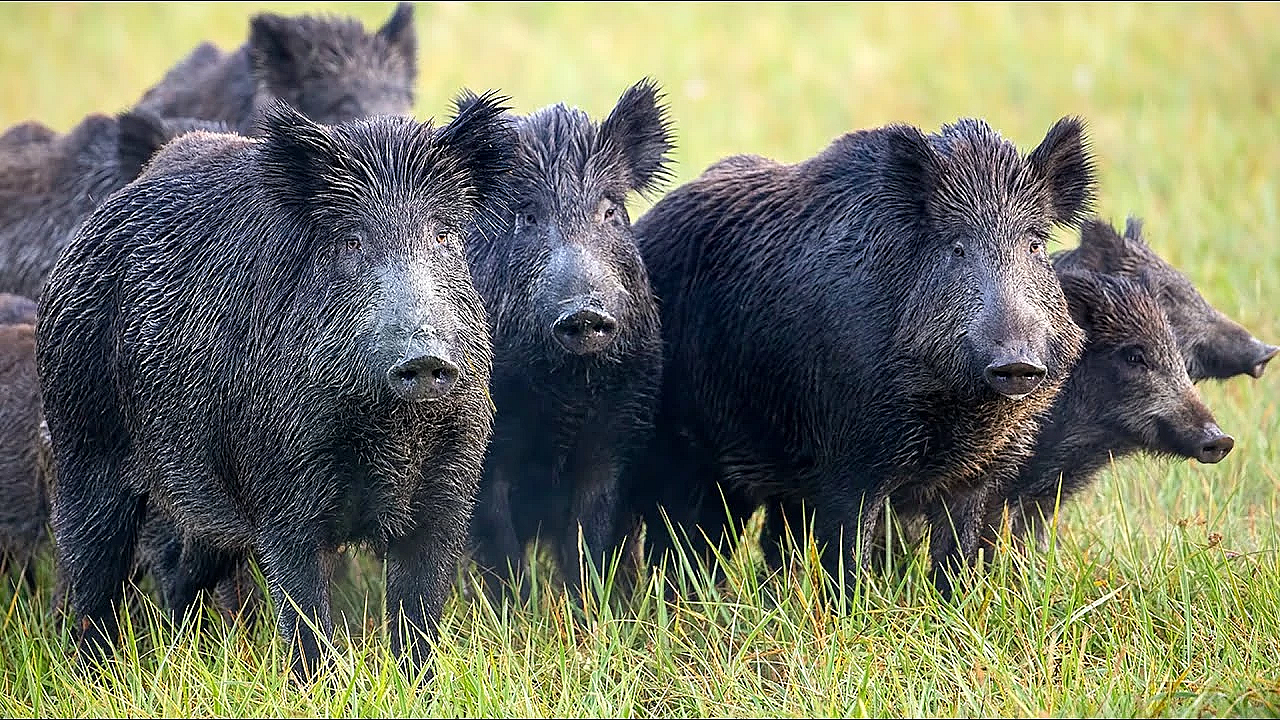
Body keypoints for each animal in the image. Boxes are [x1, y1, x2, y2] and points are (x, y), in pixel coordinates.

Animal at [35, 95, 514, 680]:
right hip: (83, 444)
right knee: (90, 570)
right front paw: (320, 684)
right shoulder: (283, 491)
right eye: (351, 241)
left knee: (181, 573)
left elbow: (418, 613)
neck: (391, 433)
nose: (425, 357)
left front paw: (416, 684)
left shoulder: (448, 492)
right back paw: (95, 672)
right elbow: (305, 611)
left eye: (444, 236)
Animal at [458, 79, 672, 596]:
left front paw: (593, 608)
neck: (567, 393)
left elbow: (590, 539)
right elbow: (500, 547)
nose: (585, 312)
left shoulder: (618, 434)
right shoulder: (487, 455)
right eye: (528, 216)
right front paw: (516, 611)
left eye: (611, 210)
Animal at [628, 117, 1094, 595]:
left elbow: (957, 559)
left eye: (1035, 245)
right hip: (682, 453)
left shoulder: (976, 475)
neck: (958, 407)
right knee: (681, 542)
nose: (1017, 362)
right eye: (957, 247)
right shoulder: (848, 462)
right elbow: (849, 558)